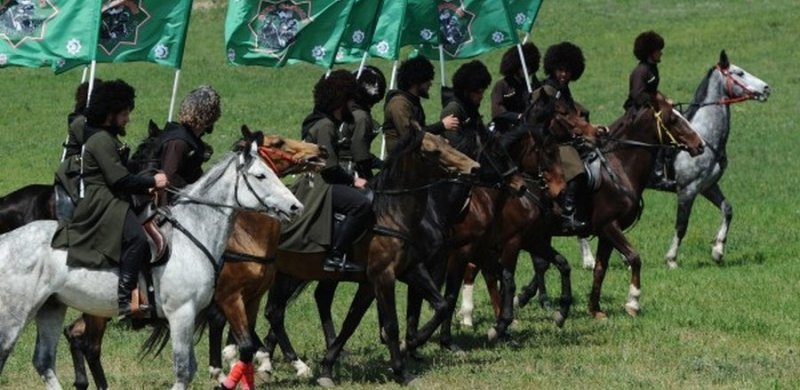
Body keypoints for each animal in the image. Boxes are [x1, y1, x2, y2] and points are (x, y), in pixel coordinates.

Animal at [0, 129, 304, 390]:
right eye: (261, 176)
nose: (296, 207)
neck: (192, 234)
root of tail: (6, 241)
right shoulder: (183, 313)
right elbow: (184, 369)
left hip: (51, 307)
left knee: (45, 361)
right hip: (17, 314)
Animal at [580, 50, 772, 270]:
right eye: (739, 73)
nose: (766, 88)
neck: (705, 136)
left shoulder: (707, 186)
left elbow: (727, 210)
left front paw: (717, 251)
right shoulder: (688, 189)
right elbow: (682, 225)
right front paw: (671, 259)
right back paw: (589, 261)